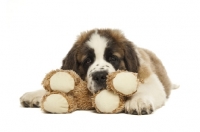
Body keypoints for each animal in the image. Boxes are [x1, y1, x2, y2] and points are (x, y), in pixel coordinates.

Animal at [19, 28, 178, 114]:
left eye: (113, 58)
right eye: (88, 61)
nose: (100, 76)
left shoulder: (149, 78)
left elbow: (146, 90)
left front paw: (138, 102)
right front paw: (35, 94)